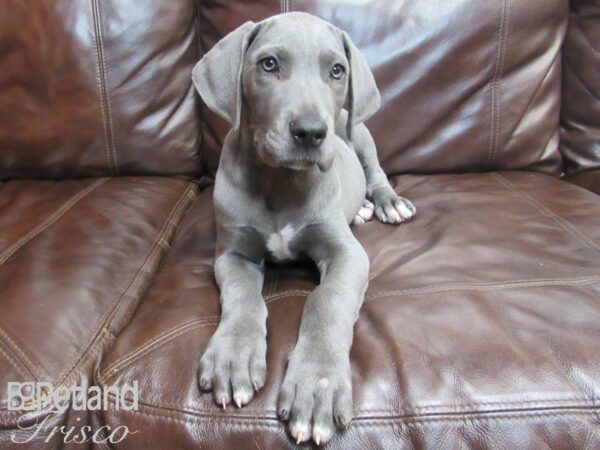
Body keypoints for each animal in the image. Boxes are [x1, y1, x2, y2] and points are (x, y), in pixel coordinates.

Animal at [191, 12, 412, 444]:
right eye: (268, 64)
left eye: (337, 70)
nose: (310, 131)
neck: (280, 181)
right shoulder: (232, 254)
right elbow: (243, 297)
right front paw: (232, 355)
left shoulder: (347, 253)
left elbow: (326, 302)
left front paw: (317, 384)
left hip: (358, 131)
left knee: (375, 170)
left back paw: (384, 203)